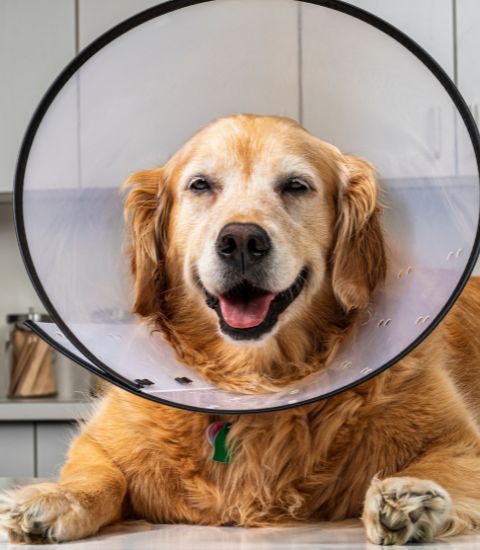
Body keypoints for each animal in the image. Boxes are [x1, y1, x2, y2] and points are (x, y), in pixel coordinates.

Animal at [0, 113, 480, 548]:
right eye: (200, 185)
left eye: (296, 186)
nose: (243, 241)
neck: (252, 385)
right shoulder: (100, 442)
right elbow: (100, 475)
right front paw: (53, 499)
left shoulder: (460, 439)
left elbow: (438, 465)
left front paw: (410, 498)